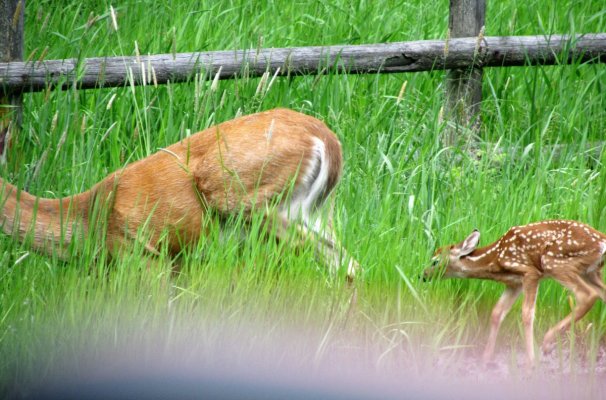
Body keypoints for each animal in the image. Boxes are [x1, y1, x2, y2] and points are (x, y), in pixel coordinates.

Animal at [1, 108, 360, 280]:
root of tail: (326, 140)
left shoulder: (144, 253)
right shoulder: (178, 261)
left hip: (249, 201)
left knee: (342, 262)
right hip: (317, 212)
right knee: (347, 263)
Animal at [428, 222, 606, 366]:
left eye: (435, 261)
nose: (423, 275)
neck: (496, 259)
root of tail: (602, 241)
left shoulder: (530, 273)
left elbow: (527, 314)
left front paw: (531, 361)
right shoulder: (514, 284)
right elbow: (496, 313)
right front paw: (486, 359)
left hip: (555, 262)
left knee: (586, 294)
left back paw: (547, 343)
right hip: (590, 271)